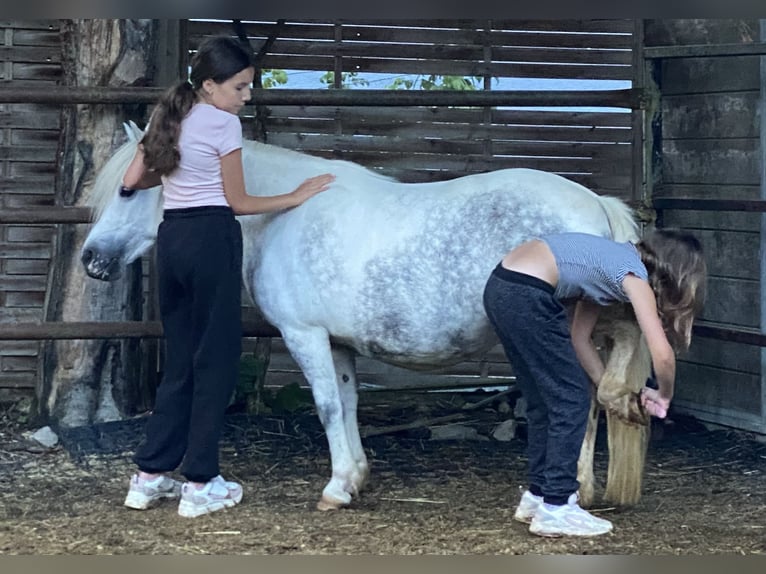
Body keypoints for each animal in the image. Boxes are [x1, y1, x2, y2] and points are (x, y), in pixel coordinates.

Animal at [81, 124, 652, 510]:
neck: (282, 215)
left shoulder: (305, 335)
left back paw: (578, 478)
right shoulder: (337, 343)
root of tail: (594, 204)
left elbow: (327, 407)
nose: (91, 259)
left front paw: (336, 488)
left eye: (128, 189)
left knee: (586, 386)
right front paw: (355, 475)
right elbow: (349, 404)